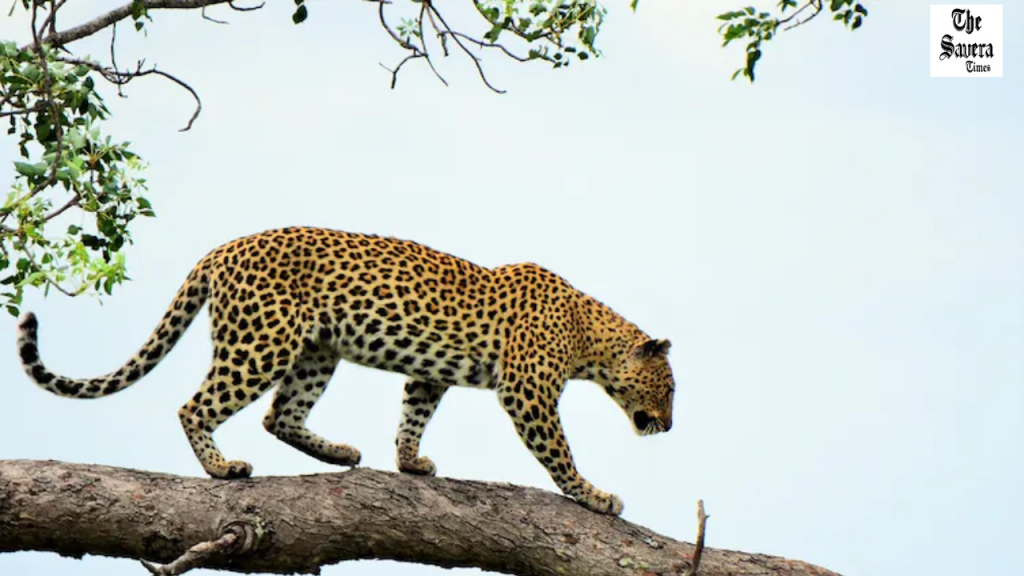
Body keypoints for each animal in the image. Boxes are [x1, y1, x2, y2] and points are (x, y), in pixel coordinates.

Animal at [15, 227, 676, 515]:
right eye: (669, 388)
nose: (668, 426)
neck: (590, 337)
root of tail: (220, 249)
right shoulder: (528, 390)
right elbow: (558, 452)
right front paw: (595, 496)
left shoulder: (431, 373)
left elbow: (414, 412)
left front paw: (410, 463)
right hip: (262, 343)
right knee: (195, 406)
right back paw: (223, 469)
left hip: (316, 351)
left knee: (281, 415)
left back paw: (339, 453)